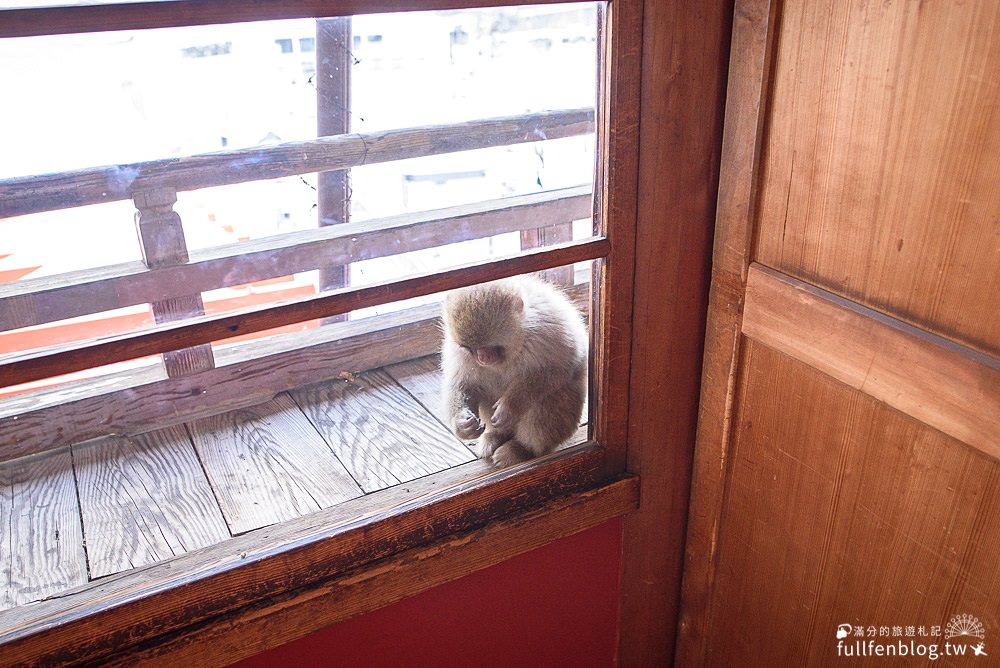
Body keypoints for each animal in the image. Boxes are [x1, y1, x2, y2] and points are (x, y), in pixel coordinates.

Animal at [442, 274, 588, 468]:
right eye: (470, 348)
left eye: (489, 346)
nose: (482, 358)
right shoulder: (458, 353)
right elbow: (463, 384)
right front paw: (462, 424)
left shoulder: (549, 331)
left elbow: (555, 371)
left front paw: (509, 407)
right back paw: (495, 436)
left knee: (549, 398)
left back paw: (522, 448)